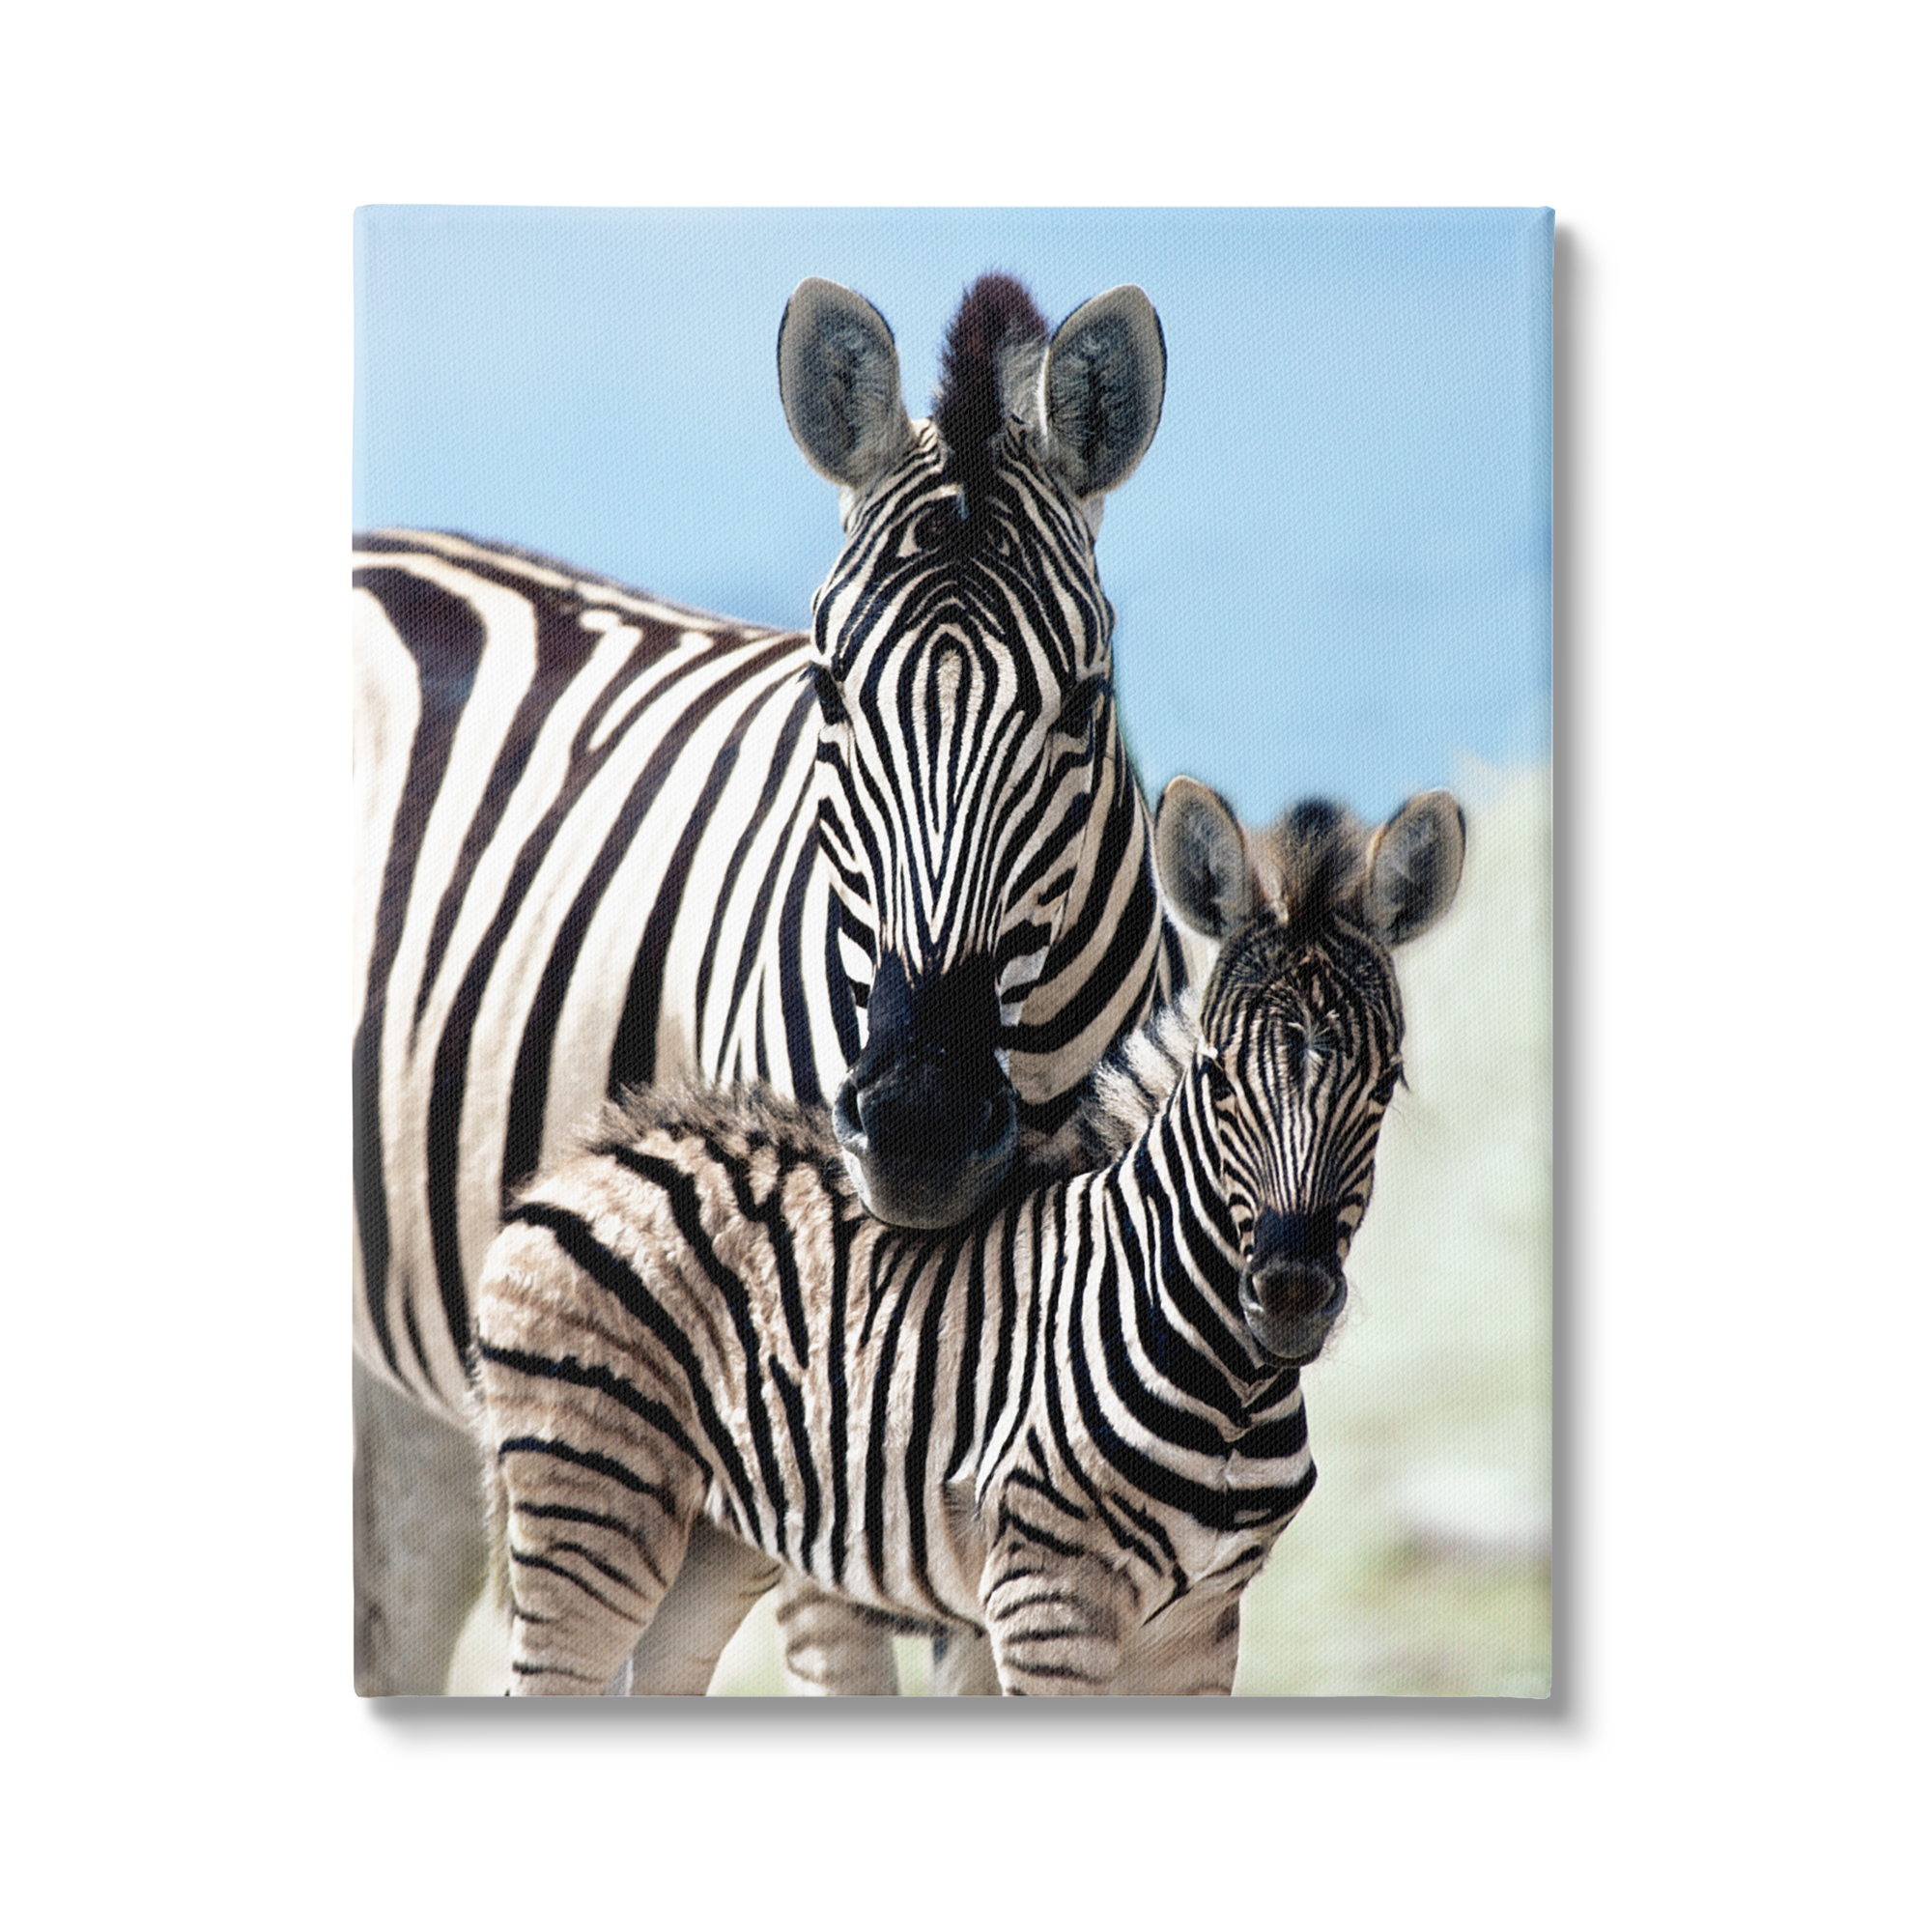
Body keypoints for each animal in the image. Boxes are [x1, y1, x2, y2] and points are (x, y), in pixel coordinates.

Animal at [470, 781, 1467, 1695]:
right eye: (1219, 1078)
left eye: (1387, 1082)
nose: (1291, 1293)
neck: (1231, 1383)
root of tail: (586, 1157)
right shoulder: (1048, 1598)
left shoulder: (1204, 1624)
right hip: (591, 1505)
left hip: (712, 1542)